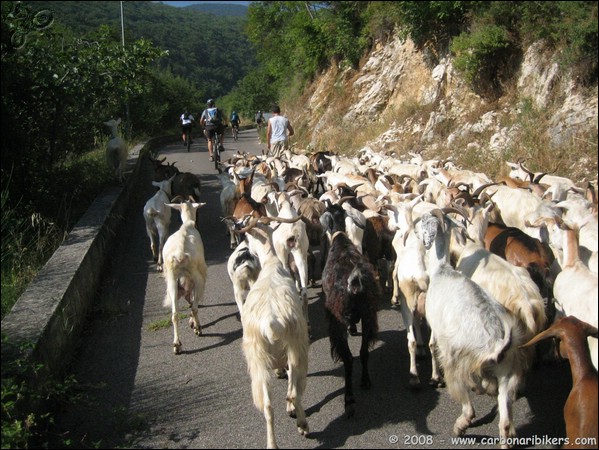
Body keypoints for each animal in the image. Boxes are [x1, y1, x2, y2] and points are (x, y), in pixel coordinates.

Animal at [162, 200, 209, 356]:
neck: (187, 224)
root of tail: (180, 255)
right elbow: (192, 301)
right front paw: (193, 323)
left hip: (172, 282)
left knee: (175, 314)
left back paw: (177, 344)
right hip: (198, 278)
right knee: (194, 307)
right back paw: (198, 328)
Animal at [322, 204, 378, 418]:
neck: (341, 240)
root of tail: (354, 285)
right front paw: (354, 328)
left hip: (337, 321)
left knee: (347, 360)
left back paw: (349, 400)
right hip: (369, 313)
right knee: (363, 352)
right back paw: (366, 381)